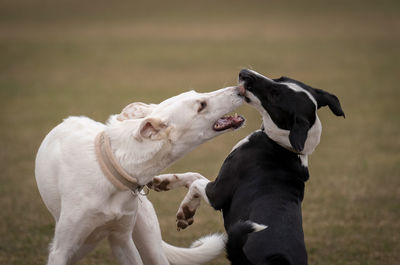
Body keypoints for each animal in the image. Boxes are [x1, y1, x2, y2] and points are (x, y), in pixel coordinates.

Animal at [35, 85, 247, 262]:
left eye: (198, 94)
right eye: (201, 105)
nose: (240, 88)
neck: (116, 168)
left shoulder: (122, 240)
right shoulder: (61, 251)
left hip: (148, 241)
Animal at [150, 69, 344, 264]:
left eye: (275, 95)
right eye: (282, 78)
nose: (245, 73)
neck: (282, 145)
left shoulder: (217, 193)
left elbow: (195, 179)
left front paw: (183, 207)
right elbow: (194, 177)